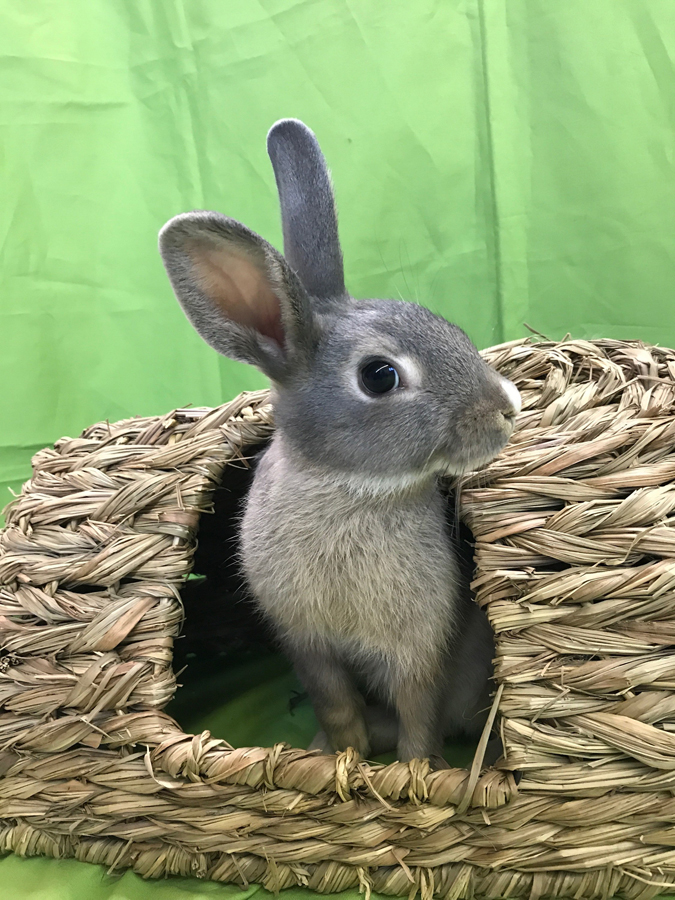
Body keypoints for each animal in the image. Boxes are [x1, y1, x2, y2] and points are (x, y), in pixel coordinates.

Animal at [159, 118, 521, 764]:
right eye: (379, 376)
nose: (507, 409)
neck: (350, 490)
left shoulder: (420, 650)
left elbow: (420, 712)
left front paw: (416, 770)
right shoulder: (309, 645)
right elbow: (334, 701)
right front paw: (340, 756)